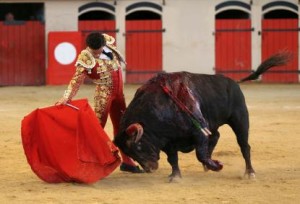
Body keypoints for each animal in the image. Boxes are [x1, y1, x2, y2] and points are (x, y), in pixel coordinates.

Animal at [114, 51, 290, 181]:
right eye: (129, 153)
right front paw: (175, 176)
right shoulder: (169, 140)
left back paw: (249, 173)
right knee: (216, 136)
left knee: (244, 146)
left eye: (138, 146)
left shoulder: (198, 131)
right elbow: (173, 158)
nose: (150, 168)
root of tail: (234, 82)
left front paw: (217, 165)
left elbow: (199, 154)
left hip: (240, 119)